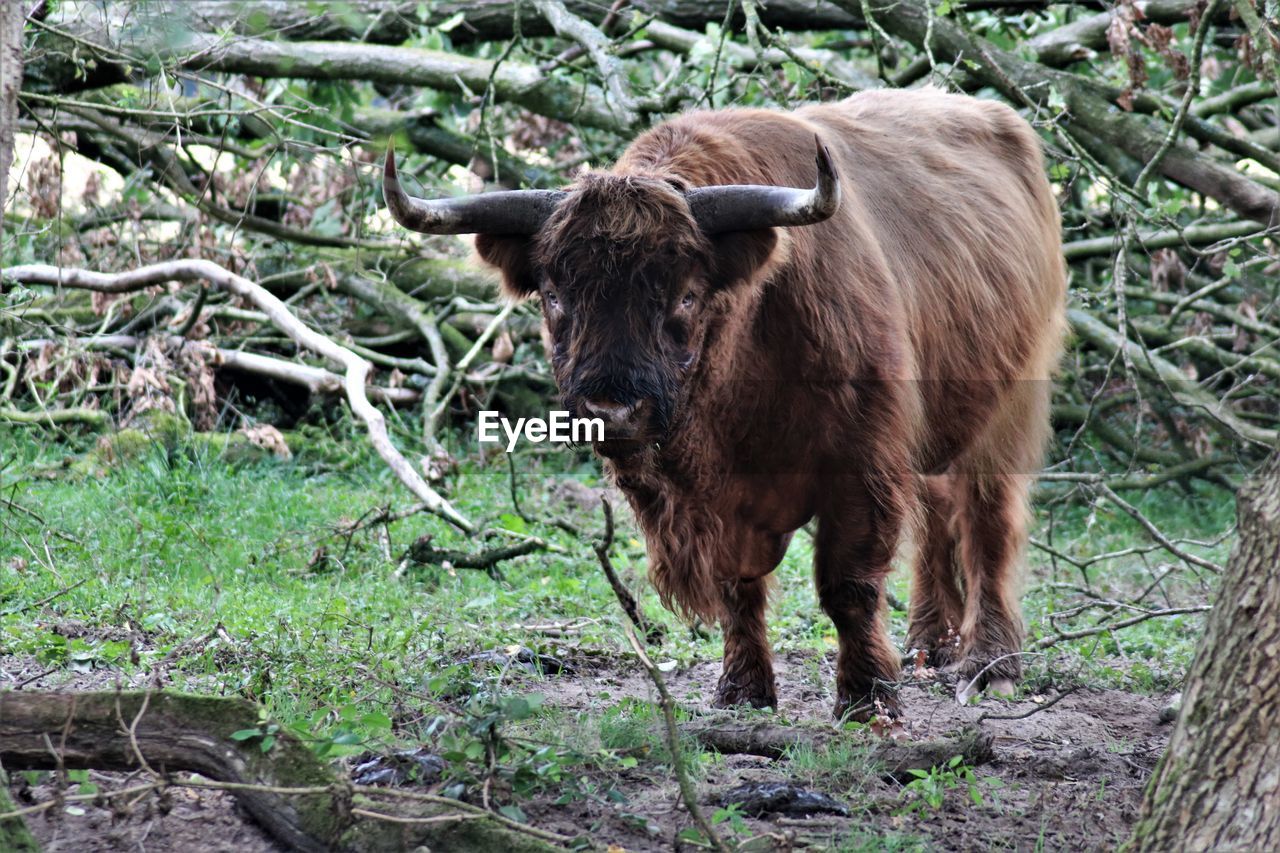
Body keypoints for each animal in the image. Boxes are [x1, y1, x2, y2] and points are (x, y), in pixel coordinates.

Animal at [384, 89, 1064, 712]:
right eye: (554, 295)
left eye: (686, 294)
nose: (612, 411)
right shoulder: (707, 501)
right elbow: (738, 586)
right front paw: (742, 690)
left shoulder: (864, 460)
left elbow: (849, 583)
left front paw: (868, 697)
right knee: (938, 514)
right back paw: (930, 644)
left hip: (1009, 409)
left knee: (987, 521)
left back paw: (990, 664)